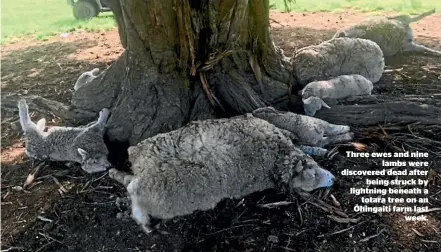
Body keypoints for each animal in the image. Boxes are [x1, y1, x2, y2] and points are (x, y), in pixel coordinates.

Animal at [108, 107, 352, 234]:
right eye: (312, 176)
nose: (334, 180)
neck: (277, 155)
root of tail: (141, 162)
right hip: (156, 190)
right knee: (134, 192)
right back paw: (143, 221)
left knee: (129, 182)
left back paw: (115, 175)